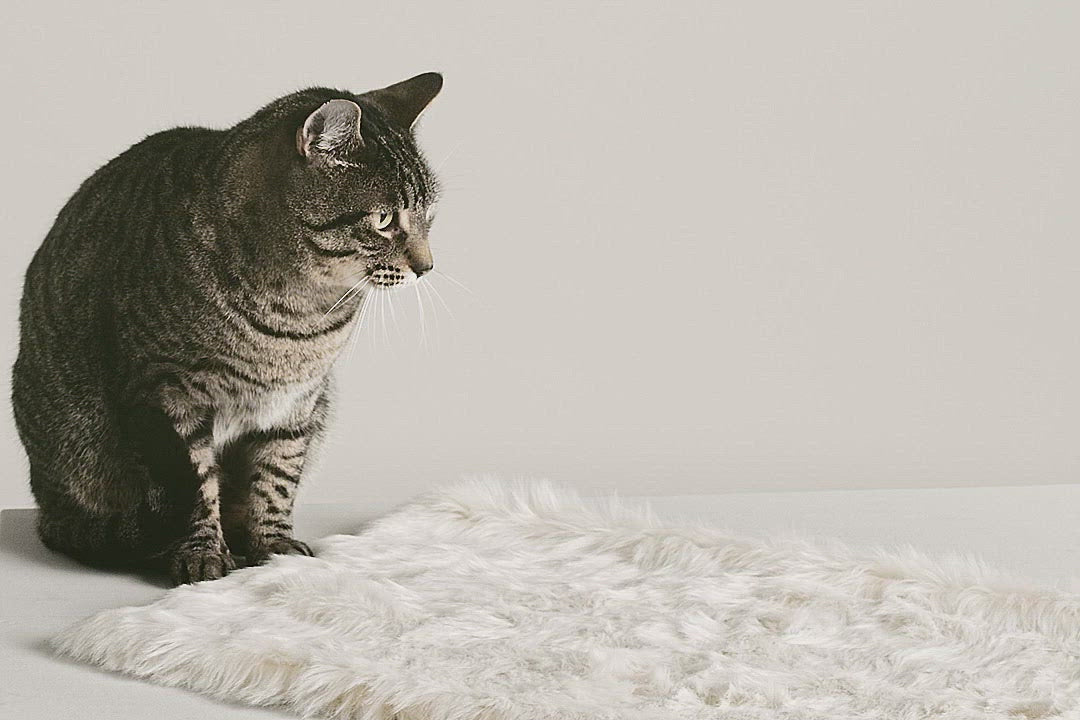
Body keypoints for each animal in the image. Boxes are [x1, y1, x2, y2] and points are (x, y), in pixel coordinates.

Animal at [12, 70, 442, 582]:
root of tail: (48, 510)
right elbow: (197, 487)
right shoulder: (168, 395)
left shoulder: (296, 404)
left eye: (429, 217)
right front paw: (201, 553)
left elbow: (276, 478)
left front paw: (273, 548)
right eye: (383, 219)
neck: (297, 316)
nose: (428, 266)